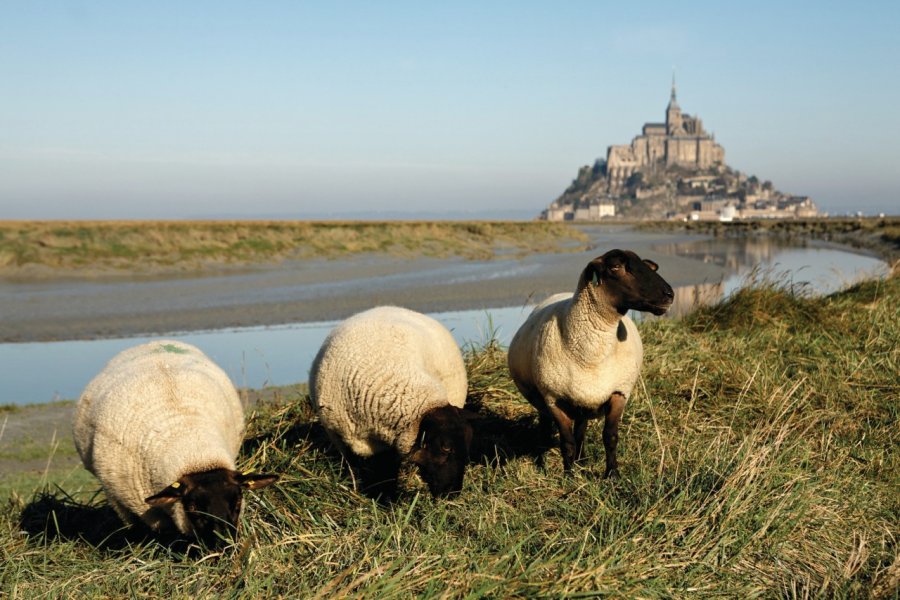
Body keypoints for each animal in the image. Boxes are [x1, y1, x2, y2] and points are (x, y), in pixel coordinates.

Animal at [506, 248, 676, 478]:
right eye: (615, 267)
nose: (669, 295)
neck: (592, 356)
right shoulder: (554, 399)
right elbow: (566, 442)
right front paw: (569, 476)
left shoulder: (618, 393)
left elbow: (609, 437)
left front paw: (612, 474)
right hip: (549, 400)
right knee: (548, 427)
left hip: (582, 401)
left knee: (581, 430)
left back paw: (582, 460)